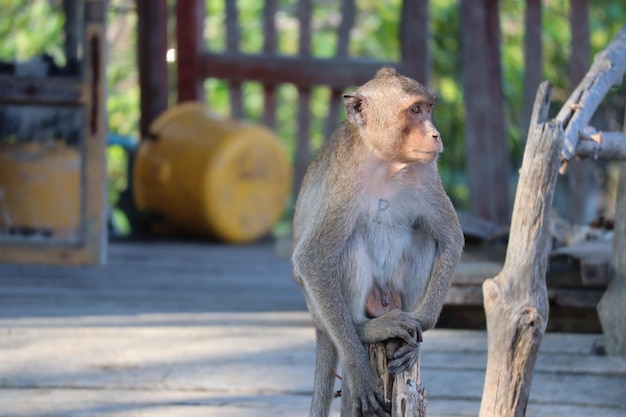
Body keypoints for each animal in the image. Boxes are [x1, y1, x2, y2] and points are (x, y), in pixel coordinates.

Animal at [290, 68, 460, 416]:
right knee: (347, 244)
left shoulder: (427, 173)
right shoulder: (344, 184)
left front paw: (421, 325)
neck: (386, 162)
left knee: (426, 237)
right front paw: (357, 368)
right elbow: (312, 257)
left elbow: (451, 238)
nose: (435, 135)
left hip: (391, 295)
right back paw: (364, 328)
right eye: (415, 110)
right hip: (324, 310)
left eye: (428, 109)